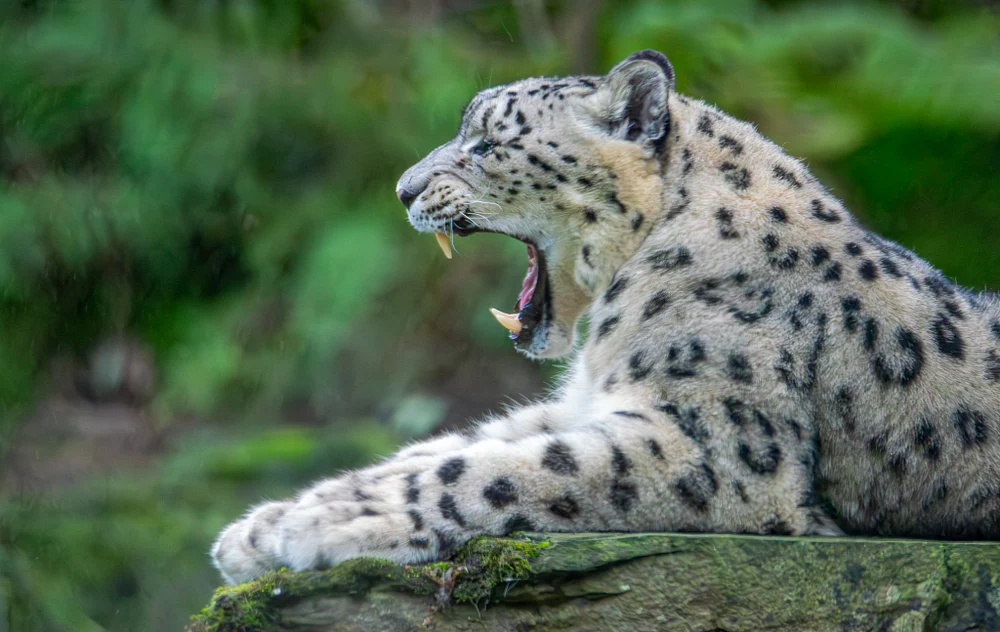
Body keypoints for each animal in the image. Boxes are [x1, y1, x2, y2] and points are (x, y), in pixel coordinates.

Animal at [212, 50, 1000, 585]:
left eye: (489, 142)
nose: (403, 188)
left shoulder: (713, 450)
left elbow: (493, 469)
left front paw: (324, 523)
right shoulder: (587, 401)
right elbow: (448, 447)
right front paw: (263, 526)